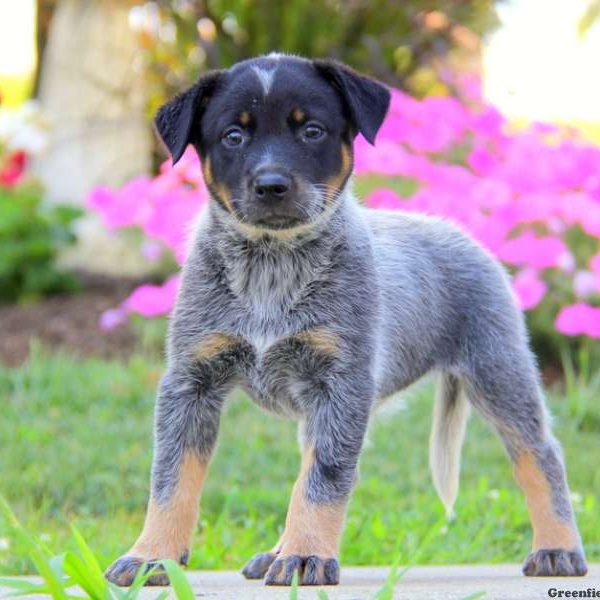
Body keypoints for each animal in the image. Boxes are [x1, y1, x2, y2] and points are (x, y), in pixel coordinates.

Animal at [103, 54, 584, 588]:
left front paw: (305, 556)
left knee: (540, 454)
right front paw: (152, 556)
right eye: (233, 135)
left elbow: (324, 479)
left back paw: (558, 548)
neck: (272, 268)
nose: (272, 185)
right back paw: (274, 551)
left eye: (312, 130)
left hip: (498, 370)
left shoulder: (342, 383)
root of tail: (459, 233)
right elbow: (171, 478)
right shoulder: (192, 379)